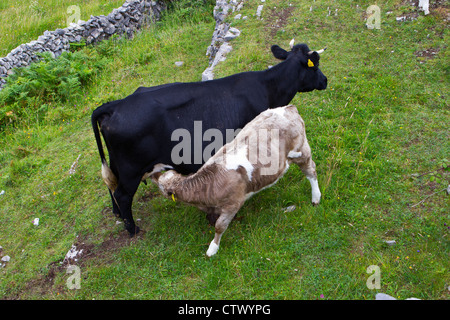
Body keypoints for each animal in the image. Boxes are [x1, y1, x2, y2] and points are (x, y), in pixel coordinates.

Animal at [90, 43, 326, 235]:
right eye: (315, 66)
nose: (324, 80)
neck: (268, 88)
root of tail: (114, 105)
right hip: (132, 169)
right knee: (122, 194)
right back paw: (132, 229)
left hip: (117, 163)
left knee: (111, 185)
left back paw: (118, 214)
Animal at [151, 106, 320, 256]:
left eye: (162, 190)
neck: (208, 188)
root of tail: (289, 108)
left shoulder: (233, 203)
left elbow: (220, 226)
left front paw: (213, 248)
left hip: (301, 152)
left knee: (311, 171)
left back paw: (316, 198)